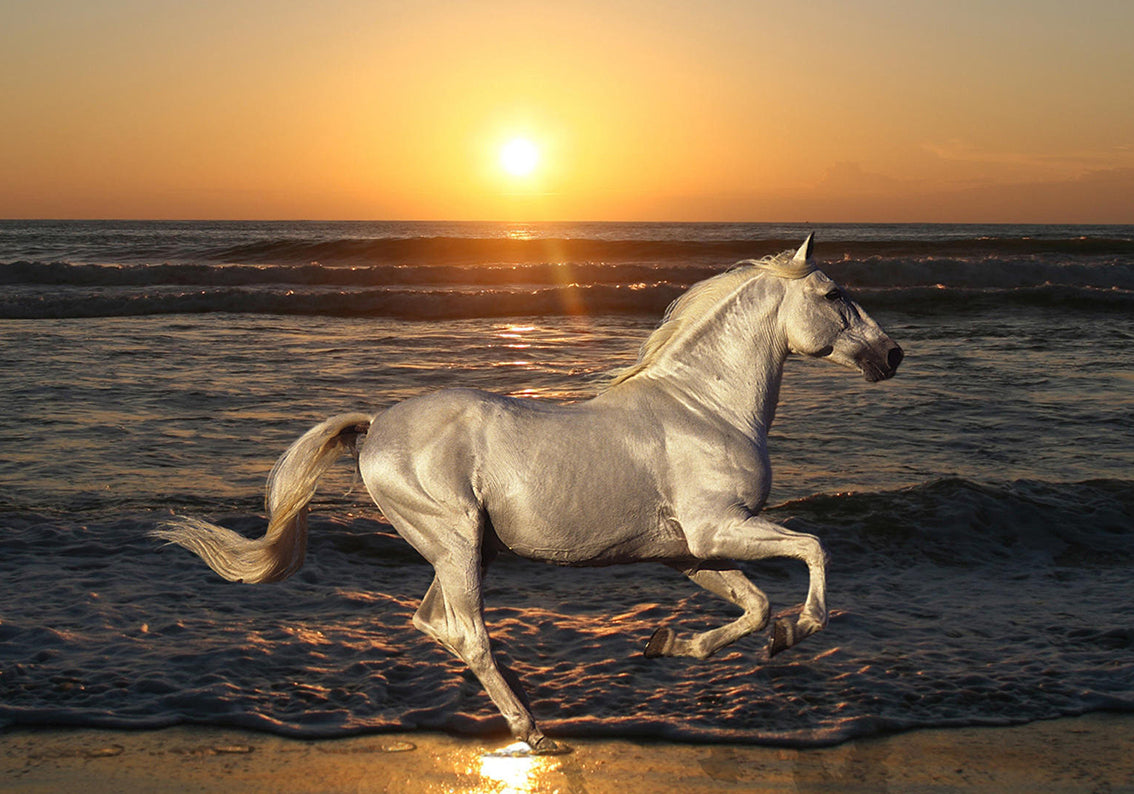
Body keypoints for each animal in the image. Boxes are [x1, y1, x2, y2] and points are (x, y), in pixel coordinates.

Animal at [154, 234, 903, 755]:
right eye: (834, 294)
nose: (892, 355)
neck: (703, 408)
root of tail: (376, 426)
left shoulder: (688, 552)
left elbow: (752, 607)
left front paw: (669, 644)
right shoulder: (718, 529)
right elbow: (813, 551)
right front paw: (796, 632)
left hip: (465, 551)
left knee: (437, 624)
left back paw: (530, 708)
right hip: (456, 541)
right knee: (467, 633)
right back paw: (534, 730)